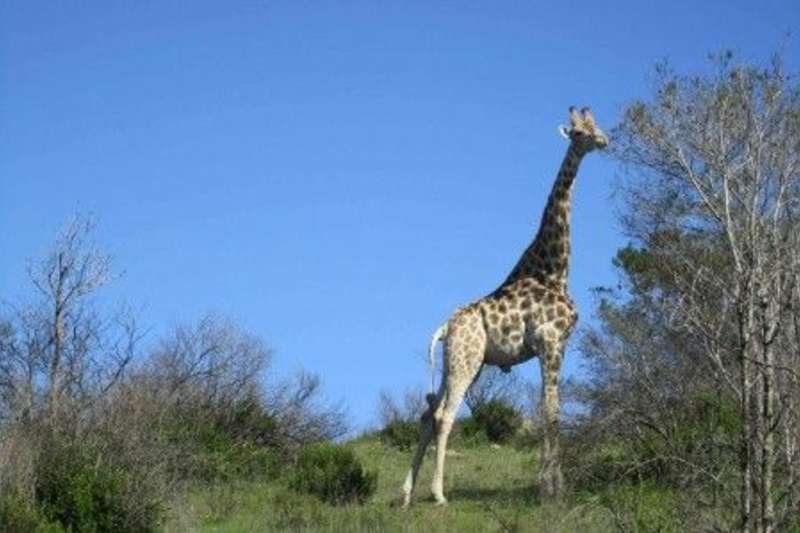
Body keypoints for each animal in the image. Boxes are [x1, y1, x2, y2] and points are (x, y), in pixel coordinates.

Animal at [401, 107, 608, 507]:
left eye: (596, 126)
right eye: (578, 132)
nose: (605, 141)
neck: (555, 269)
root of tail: (444, 328)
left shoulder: (558, 345)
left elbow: (551, 411)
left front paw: (554, 488)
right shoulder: (550, 342)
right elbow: (551, 413)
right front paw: (550, 491)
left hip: (461, 362)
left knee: (426, 413)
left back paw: (405, 495)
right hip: (466, 361)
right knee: (444, 416)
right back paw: (438, 494)